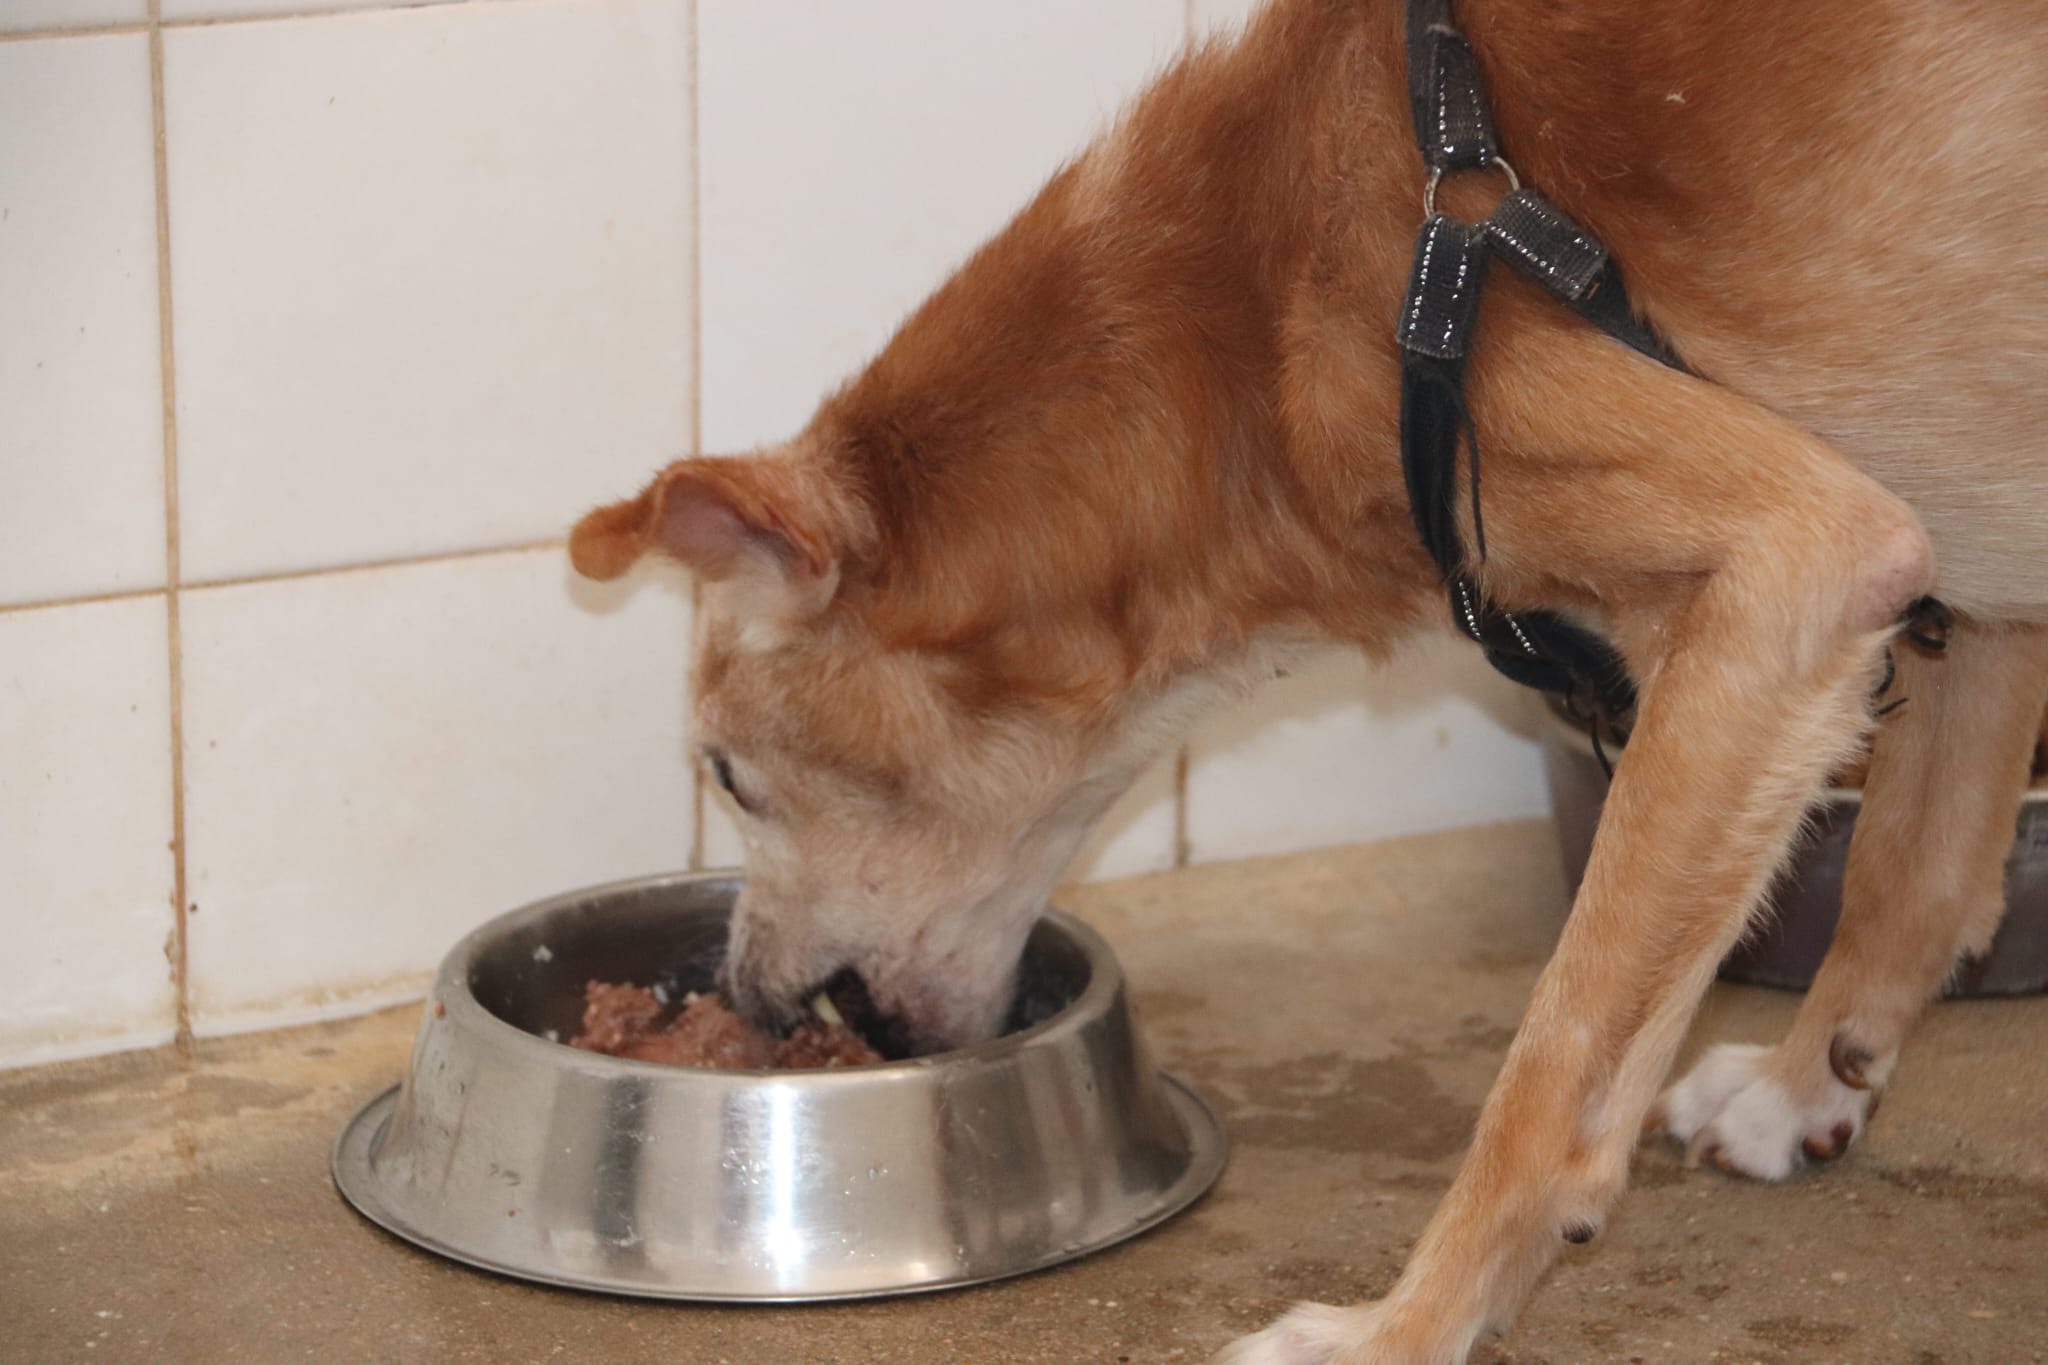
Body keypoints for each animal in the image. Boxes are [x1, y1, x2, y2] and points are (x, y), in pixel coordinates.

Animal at [569, 1, 2048, 1359]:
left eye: (727, 774)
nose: (753, 999)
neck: (1252, 295)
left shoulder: (1801, 564)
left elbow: (1549, 1074)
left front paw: (1399, 1332)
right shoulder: (1967, 585)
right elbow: (1914, 873)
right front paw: (1810, 1083)